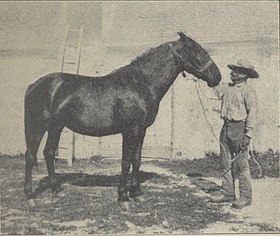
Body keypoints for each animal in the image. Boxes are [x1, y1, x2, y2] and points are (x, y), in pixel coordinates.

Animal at [24, 31, 221, 201]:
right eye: (198, 51)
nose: (217, 77)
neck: (141, 83)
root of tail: (35, 85)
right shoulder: (130, 130)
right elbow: (126, 161)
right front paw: (122, 195)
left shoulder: (141, 130)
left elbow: (137, 160)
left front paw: (136, 191)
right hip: (39, 127)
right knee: (31, 155)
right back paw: (29, 194)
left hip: (56, 127)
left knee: (48, 153)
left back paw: (56, 188)